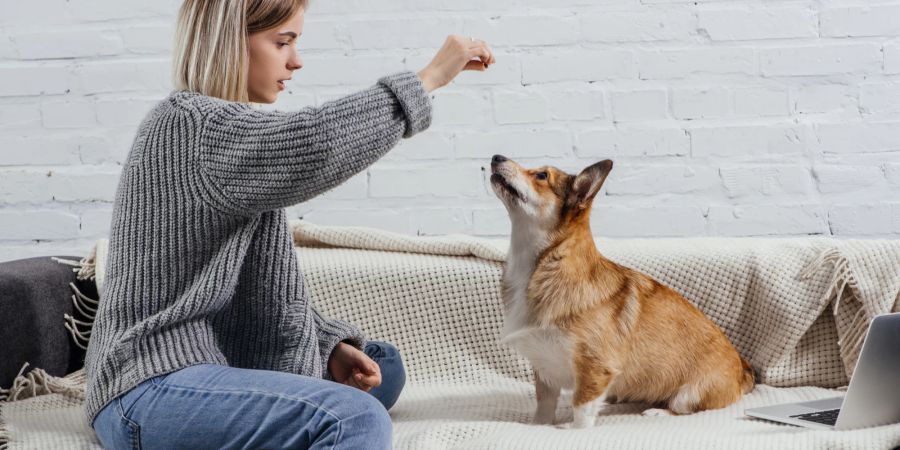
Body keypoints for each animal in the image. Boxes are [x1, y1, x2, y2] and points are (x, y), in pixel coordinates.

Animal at [488, 156, 756, 428]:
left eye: (541, 176)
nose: (497, 157)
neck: (540, 265)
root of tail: (743, 370)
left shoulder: (594, 367)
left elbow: (581, 406)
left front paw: (573, 429)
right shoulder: (544, 368)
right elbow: (544, 404)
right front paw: (539, 425)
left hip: (689, 394)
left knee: (682, 407)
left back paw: (658, 412)